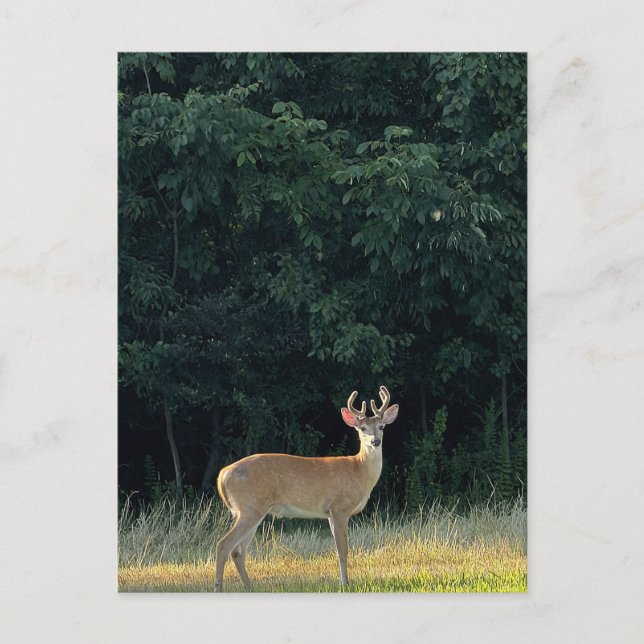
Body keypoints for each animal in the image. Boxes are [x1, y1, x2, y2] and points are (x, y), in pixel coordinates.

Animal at [214, 385, 399, 592]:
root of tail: (222, 475)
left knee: (238, 551)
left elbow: (338, 548)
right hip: (249, 507)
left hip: (251, 510)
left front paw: (342, 581)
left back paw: (250, 588)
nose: (375, 441)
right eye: (362, 428)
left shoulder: (330, 513)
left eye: (381, 427)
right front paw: (345, 584)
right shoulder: (340, 507)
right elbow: (343, 550)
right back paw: (219, 587)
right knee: (224, 545)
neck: (359, 470)